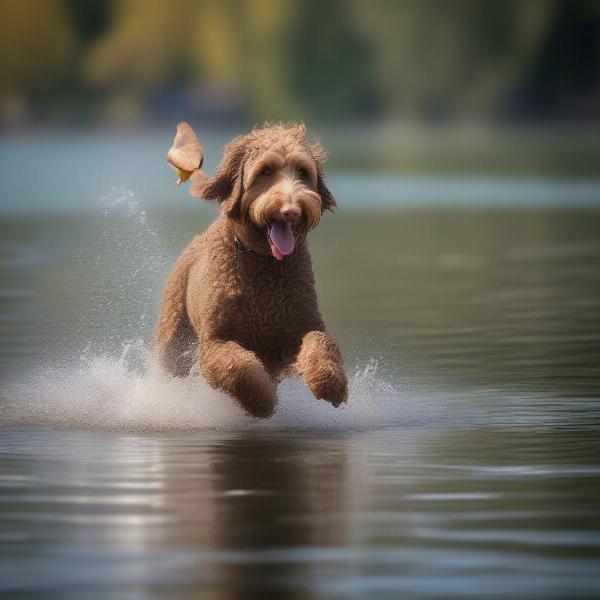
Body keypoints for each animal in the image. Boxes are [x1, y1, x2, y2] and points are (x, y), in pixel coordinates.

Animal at [155, 122, 350, 418]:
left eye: (303, 172)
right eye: (265, 171)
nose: (292, 211)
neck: (263, 262)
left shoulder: (297, 331)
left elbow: (321, 343)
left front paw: (331, 383)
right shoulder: (215, 342)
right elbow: (240, 369)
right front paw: (263, 401)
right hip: (173, 336)